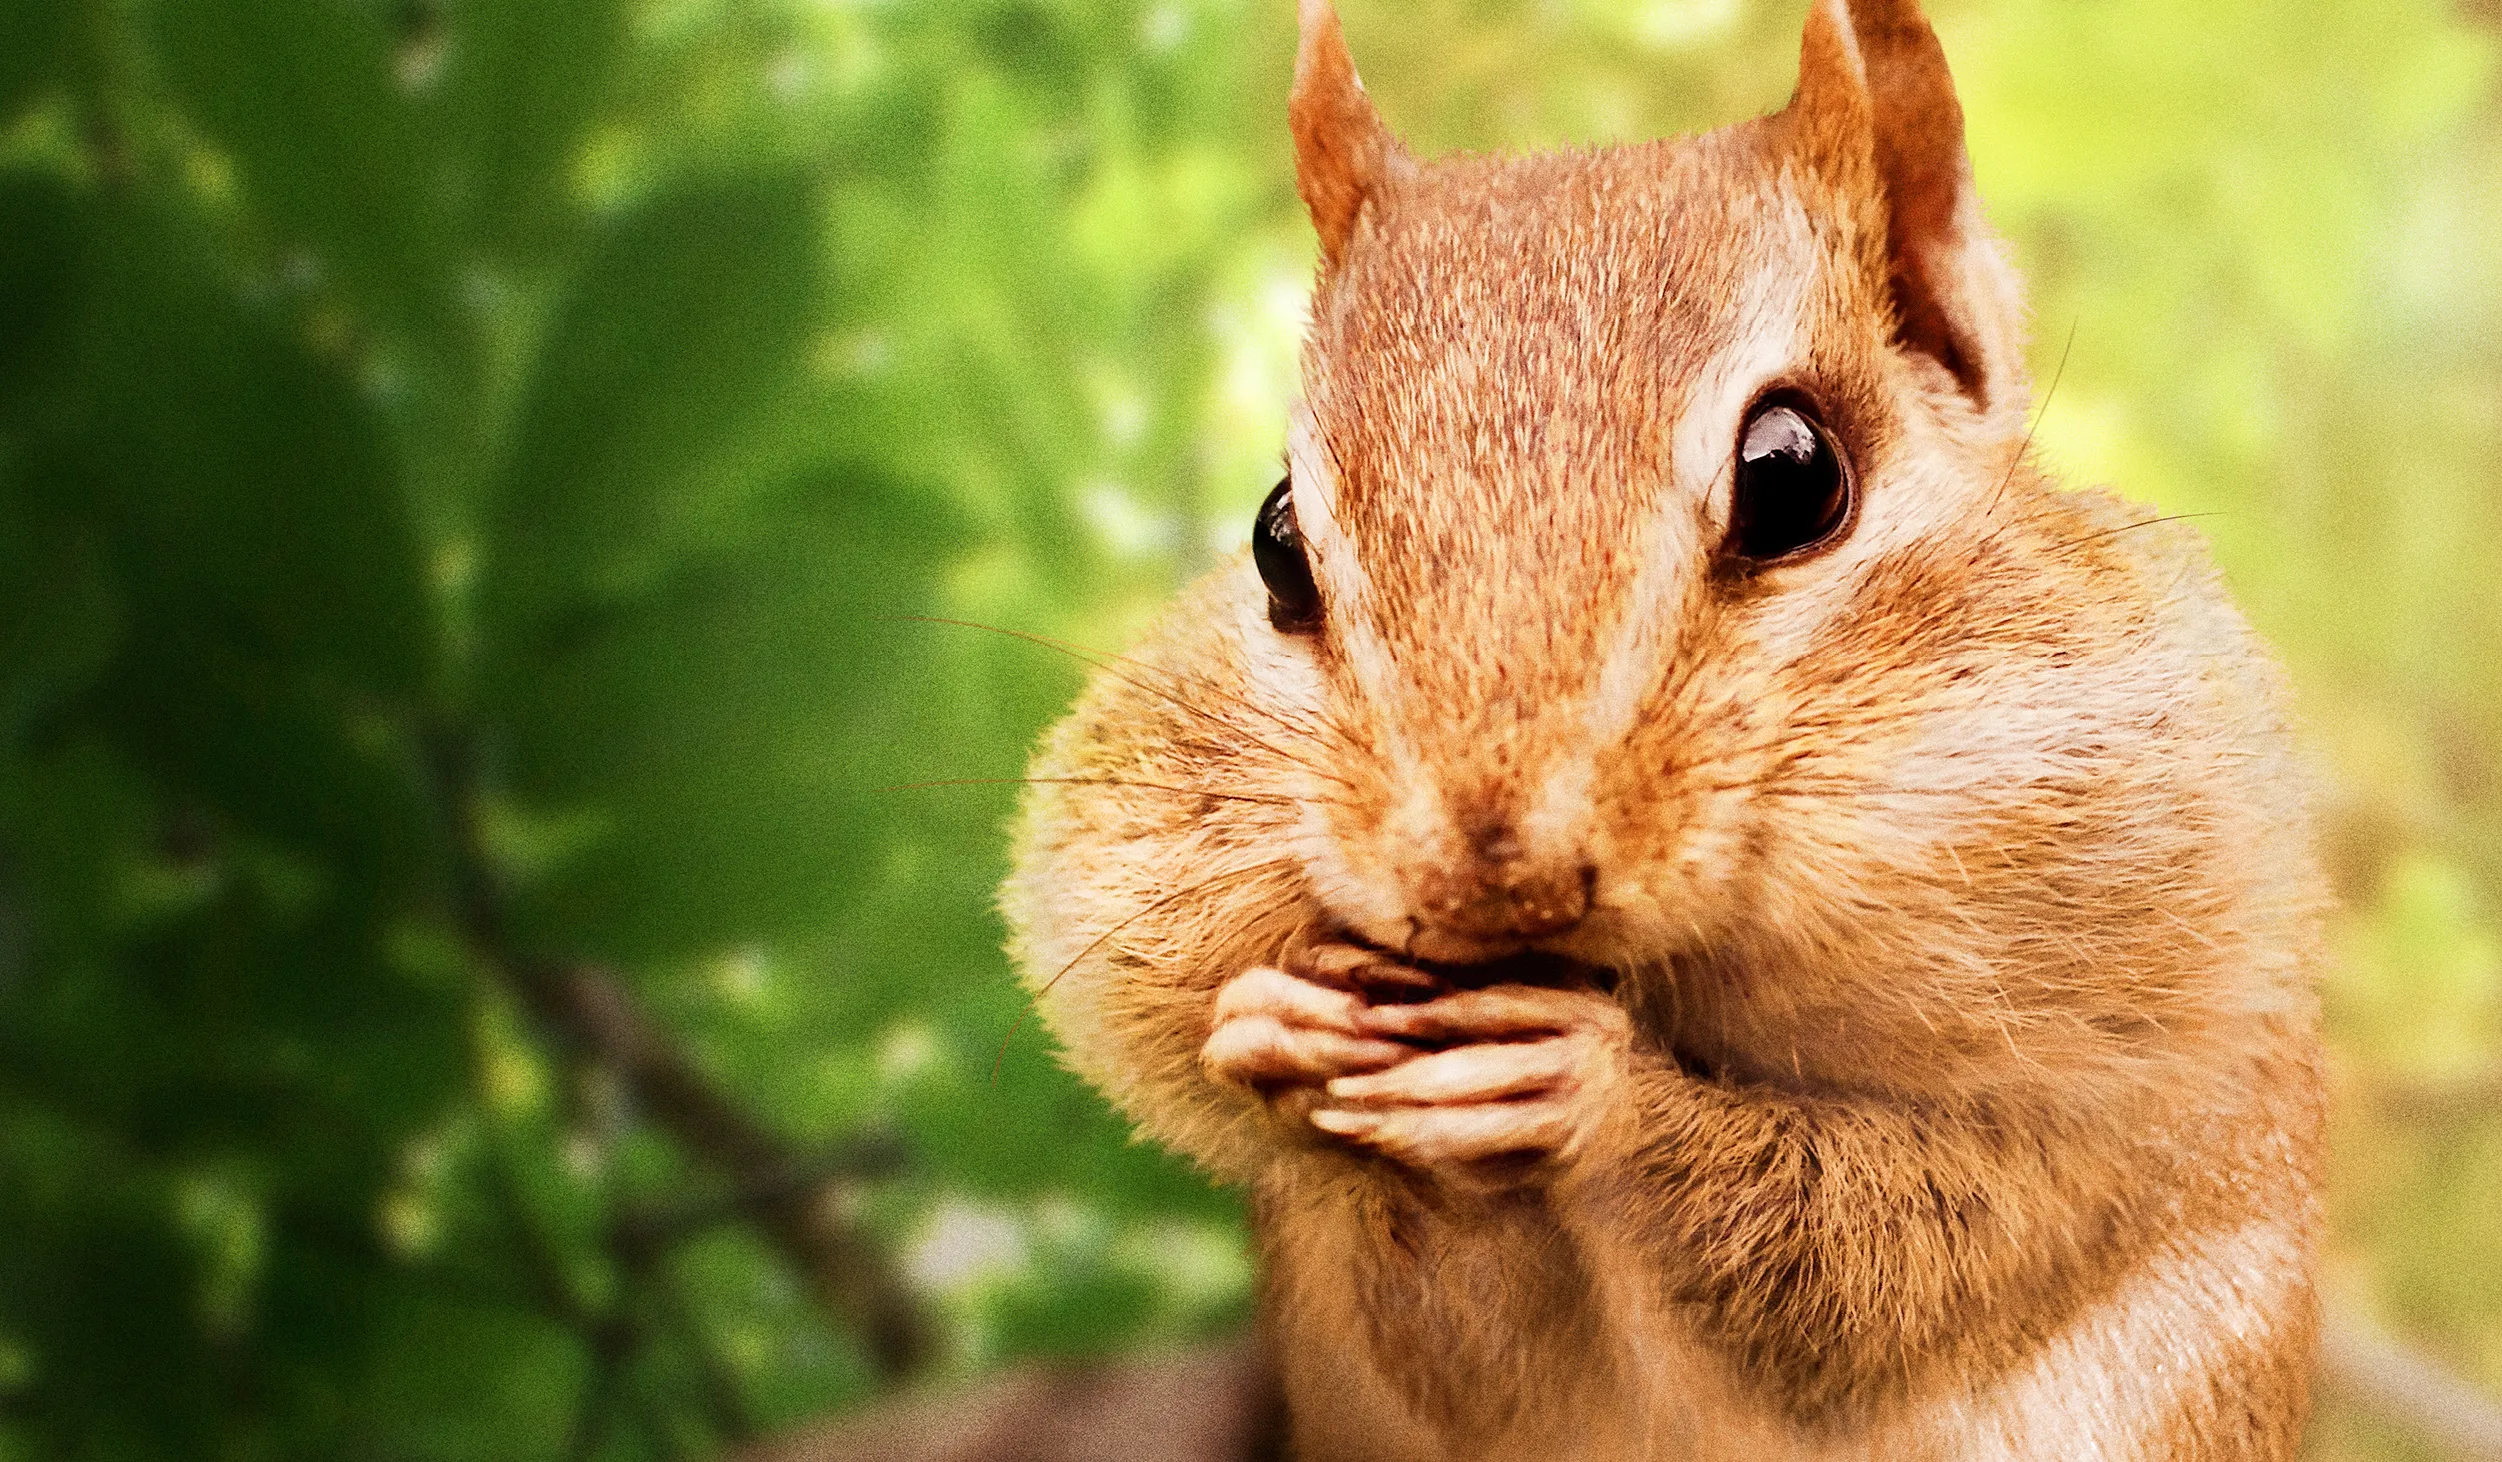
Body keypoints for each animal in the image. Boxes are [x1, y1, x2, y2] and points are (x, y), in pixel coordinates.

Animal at [1001, 0, 2327, 1457]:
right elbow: (1450, 1348)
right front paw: (1273, 1027)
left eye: (1793, 476)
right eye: (1275, 537)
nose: (1488, 874)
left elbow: (1883, 1258)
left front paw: (1596, 1092)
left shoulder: (2109, 1108)